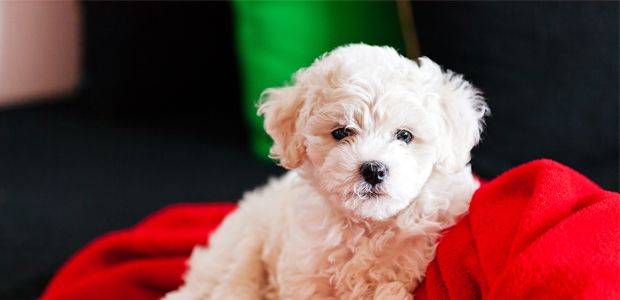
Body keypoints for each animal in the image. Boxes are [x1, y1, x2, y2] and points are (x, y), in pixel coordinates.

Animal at [163, 44, 490, 300]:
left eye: (405, 136)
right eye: (342, 132)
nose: (373, 170)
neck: (368, 226)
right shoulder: (306, 271)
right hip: (239, 250)